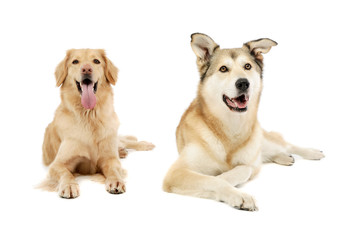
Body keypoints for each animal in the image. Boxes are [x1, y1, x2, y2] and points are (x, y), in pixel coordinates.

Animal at [38, 33, 324, 210]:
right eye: (223, 69)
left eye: (247, 67)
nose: (243, 83)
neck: (228, 130)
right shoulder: (177, 172)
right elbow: (215, 180)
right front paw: (235, 192)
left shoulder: (248, 162)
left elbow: (241, 169)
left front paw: (230, 177)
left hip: (266, 141)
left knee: (283, 144)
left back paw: (308, 152)